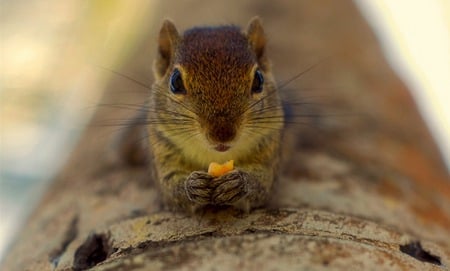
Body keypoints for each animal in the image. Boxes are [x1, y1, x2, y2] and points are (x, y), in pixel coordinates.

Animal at [116, 17, 284, 215]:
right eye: (175, 81)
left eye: (259, 80)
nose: (222, 134)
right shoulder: (162, 148)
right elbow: (169, 187)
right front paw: (192, 185)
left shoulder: (269, 147)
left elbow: (264, 184)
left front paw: (239, 183)